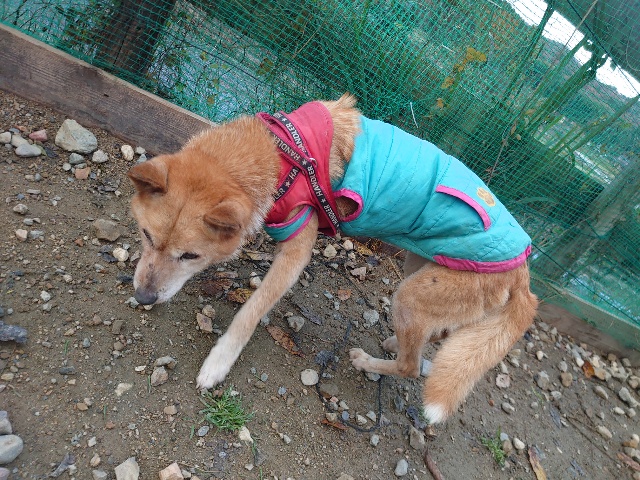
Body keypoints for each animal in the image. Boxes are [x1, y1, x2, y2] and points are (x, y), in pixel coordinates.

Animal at [128, 94, 538, 424]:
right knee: (434, 337)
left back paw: (368, 361)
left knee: (412, 367)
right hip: (418, 267)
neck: (280, 158)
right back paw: (397, 342)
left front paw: (218, 363)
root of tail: (525, 276)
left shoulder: (295, 250)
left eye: (190, 255)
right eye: (146, 235)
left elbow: (250, 312)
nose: (143, 298)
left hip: (410, 293)